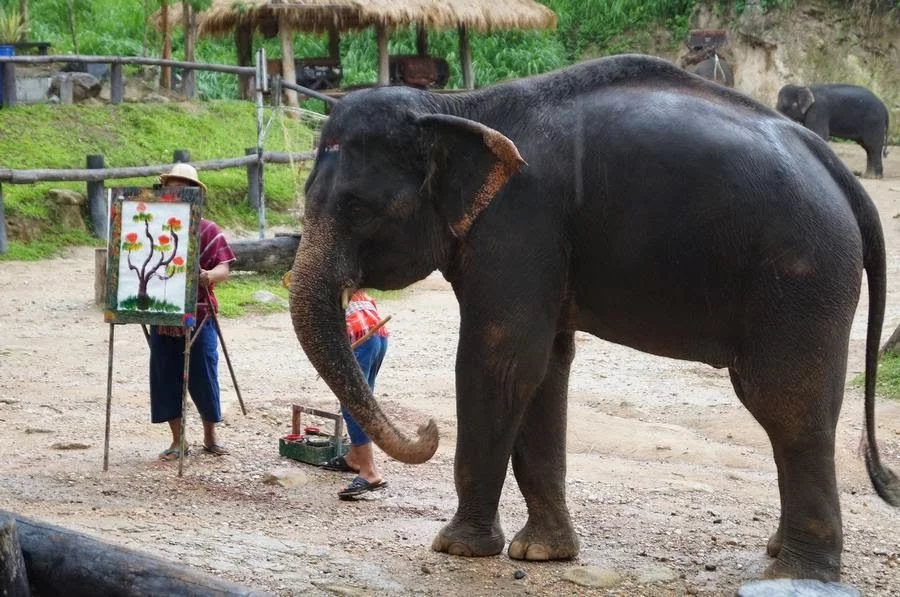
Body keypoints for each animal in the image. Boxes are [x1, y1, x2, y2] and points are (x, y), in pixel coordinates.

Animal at [288, 54, 899, 582]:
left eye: (357, 208)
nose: (426, 428)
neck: (457, 106)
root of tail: (841, 177)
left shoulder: (520, 226)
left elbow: (501, 361)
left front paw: (457, 548)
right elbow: (544, 368)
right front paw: (542, 554)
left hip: (802, 271)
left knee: (785, 402)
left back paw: (797, 574)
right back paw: (779, 556)